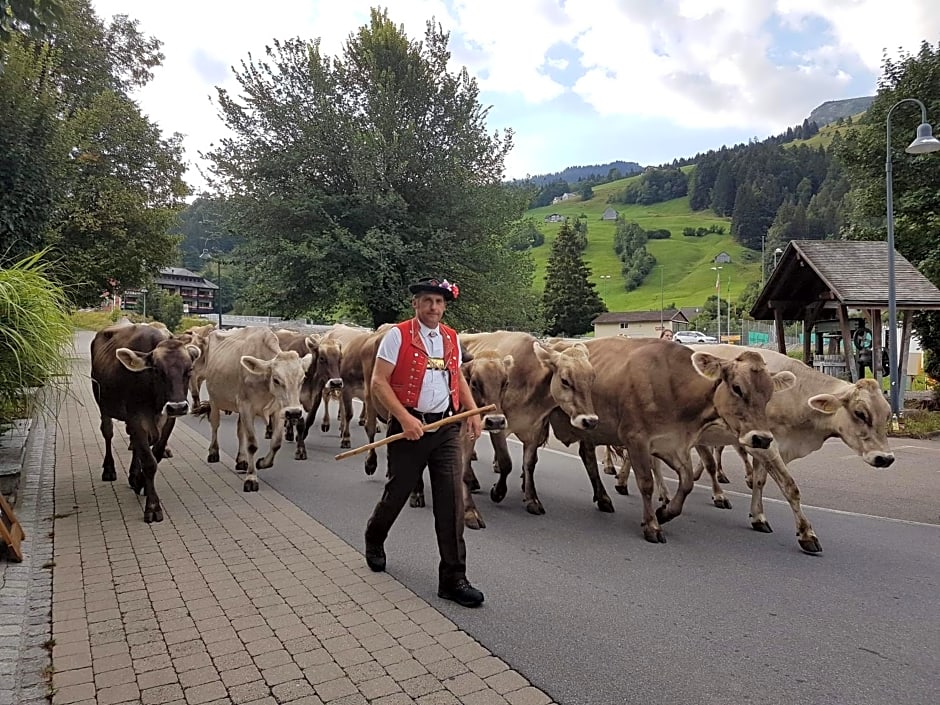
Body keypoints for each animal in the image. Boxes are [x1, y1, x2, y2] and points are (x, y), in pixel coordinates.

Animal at [92, 324, 200, 524]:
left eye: (189, 370)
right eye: (157, 370)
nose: (178, 406)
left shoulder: (168, 420)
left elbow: (155, 454)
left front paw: (140, 481)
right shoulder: (136, 418)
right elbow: (149, 461)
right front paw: (152, 506)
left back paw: (134, 475)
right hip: (103, 404)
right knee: (108, 433)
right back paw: (109, 469)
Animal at [458, 330, 600, 516]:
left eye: (592, 379)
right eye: (565, 380)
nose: (589, 421)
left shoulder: (535, 430)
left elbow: (530, 464)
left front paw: (532, 499)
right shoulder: (499, 425)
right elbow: (506, 462)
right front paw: (498, 492)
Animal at [548, 338, 796, 548]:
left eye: (769, 394)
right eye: (737, 388)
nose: (762, 438)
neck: (675, 387)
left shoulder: (675, 444)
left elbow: (686, 483)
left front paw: (664, 512)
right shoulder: (635, 438)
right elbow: (646, 483)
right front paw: (652, 526)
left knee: (588, 457)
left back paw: (603, 499)